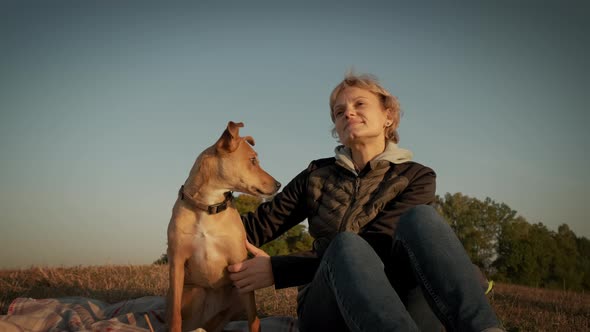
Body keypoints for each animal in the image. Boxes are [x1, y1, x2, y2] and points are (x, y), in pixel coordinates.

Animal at [166, 122, 282, 332]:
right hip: (193, 291)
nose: (279, 184)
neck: (208, 208)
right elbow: (174, 316)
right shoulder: (177, 263)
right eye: (253, 160)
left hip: (237, 292)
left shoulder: (239, 264)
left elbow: (254, 318)